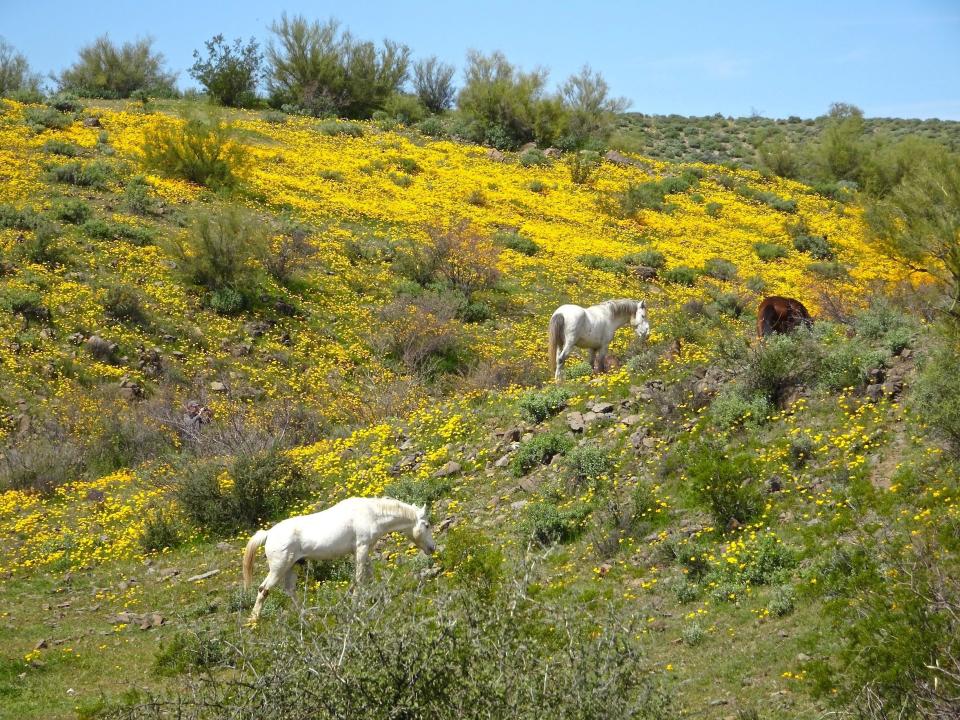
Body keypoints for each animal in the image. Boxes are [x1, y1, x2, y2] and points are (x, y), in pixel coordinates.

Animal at [242, 498, 436, 620]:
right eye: (426, 525)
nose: (432, 548)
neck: (371, 514)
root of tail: (268, 534)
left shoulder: (363, 551)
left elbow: (370, 575)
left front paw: (384, 598)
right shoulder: (362, 548)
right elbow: (360, 578)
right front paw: (357, 603)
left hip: (291, 567)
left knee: (289, 591)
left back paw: (307, 615)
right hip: (278, 568)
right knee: (263, 589)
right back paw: (254, 620)